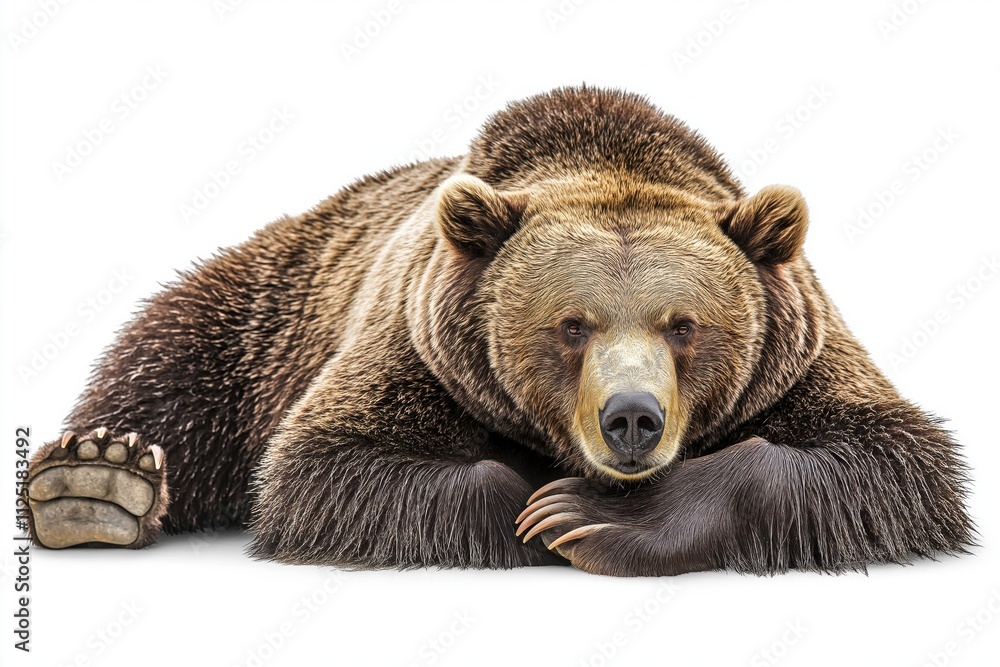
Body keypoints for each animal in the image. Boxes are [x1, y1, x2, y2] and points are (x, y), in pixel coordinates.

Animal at [23, 86, 973, 576]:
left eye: (684, 326)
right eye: (571, 324)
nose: (633, 418)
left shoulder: (799, 351)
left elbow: (886, 460)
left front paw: (594, 516)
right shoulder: (419, 343)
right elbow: (328, 464)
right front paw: (542, 500)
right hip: (278, 302)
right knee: (179, 352)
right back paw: (96, 480)